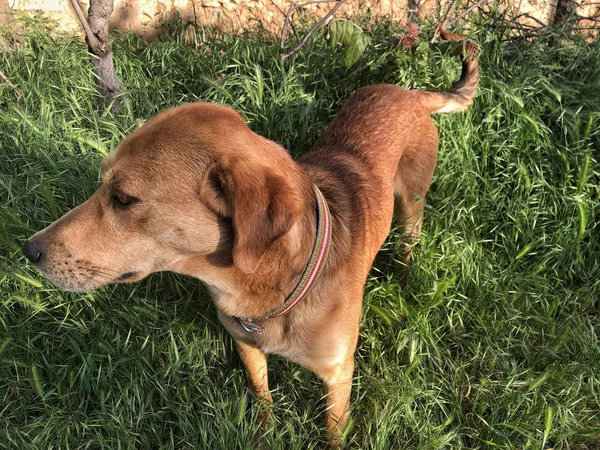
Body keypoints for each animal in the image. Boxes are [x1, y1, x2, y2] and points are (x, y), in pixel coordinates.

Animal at [23, 29, 480, 446]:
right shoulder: (247, 346)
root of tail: (411, 93)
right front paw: (264, 431)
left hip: (412, 205)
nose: (29, 250)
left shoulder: (338, 375)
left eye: (122, 198)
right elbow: (262, 396)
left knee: (409, 241)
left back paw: (404, 274)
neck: (270, 284)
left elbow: (333, 432)